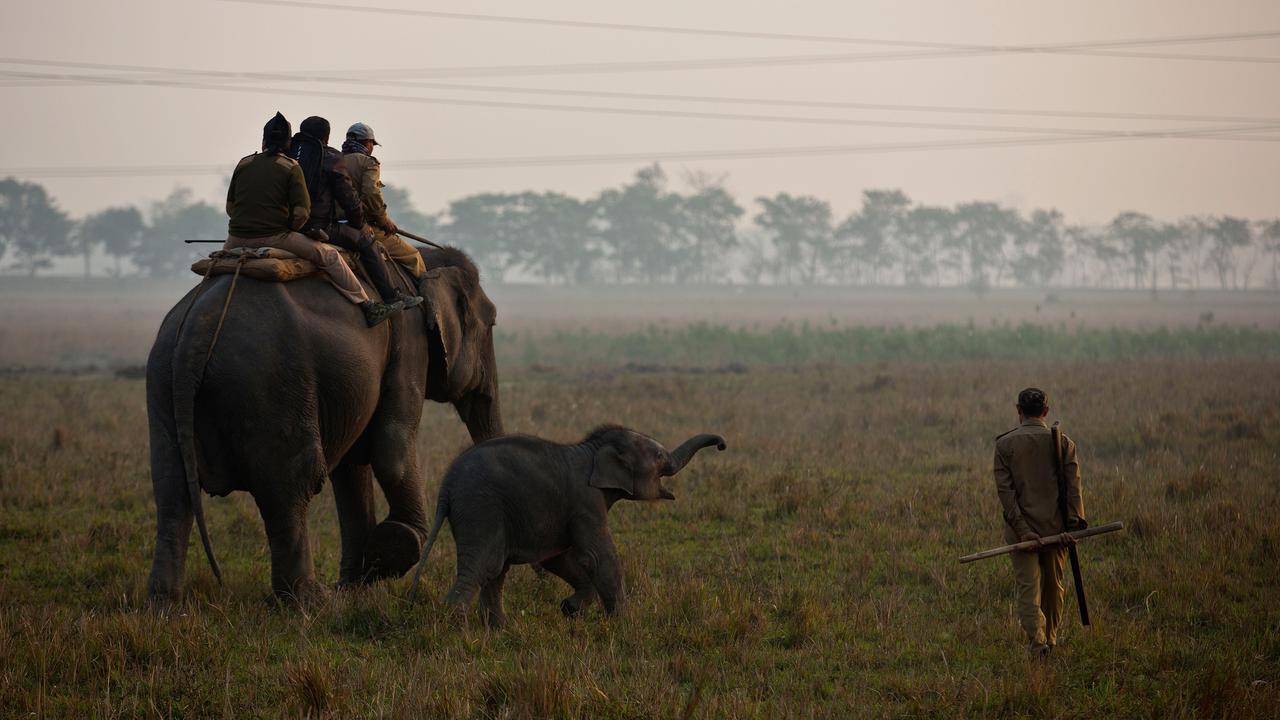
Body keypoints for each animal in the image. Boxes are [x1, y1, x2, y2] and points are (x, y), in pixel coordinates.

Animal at [144, 245, 494, 599]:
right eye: (492, 322)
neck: (420, 263)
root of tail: (196, 332)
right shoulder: (410, 344)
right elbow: (390, 450)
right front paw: (384, 559)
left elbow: (352, 467)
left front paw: (354, 587)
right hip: (271, 384)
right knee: (293, 482)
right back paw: (311, 600)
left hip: (163, 381)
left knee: (172, 489)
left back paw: (165, 603)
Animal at [412, 425, 727, 622]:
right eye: (660, 456)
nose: (723, 445)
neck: (594, 449)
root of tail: (446, 485)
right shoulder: (586, 501)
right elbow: (598, 556)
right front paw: (625, 622)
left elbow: (558, 558)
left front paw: (570, 610)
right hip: (480, 506)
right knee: (486, 564)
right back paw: (457, 624)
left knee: (496, 568)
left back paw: (501, 628)